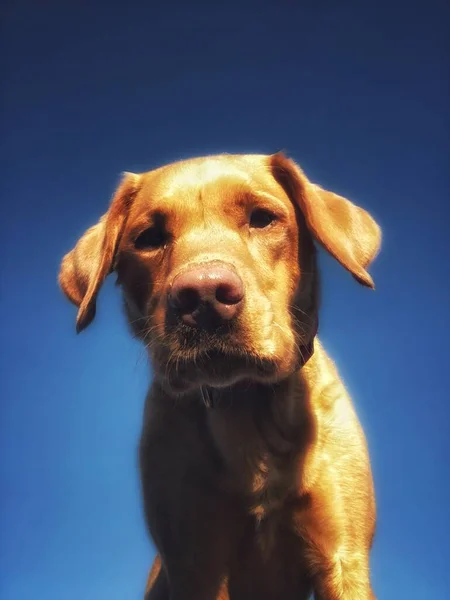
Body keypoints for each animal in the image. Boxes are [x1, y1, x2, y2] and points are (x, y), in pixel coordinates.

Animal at [59, 152, 380, 596]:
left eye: (262, 218)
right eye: (148, 238)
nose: (205, 296)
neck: (247, 404)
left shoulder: (343, 555)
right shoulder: (195, 559)